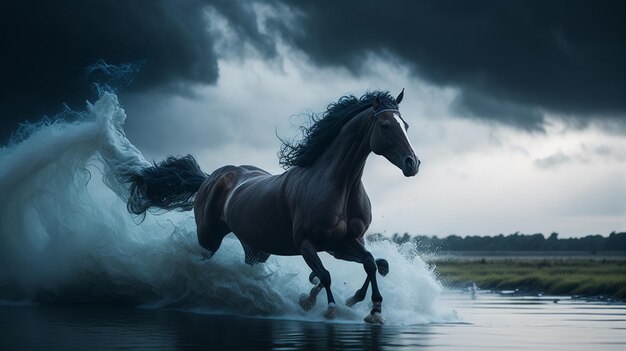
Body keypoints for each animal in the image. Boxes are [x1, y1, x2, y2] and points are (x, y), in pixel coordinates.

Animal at [125, 90, 420, 324]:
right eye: (385, 125)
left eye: (405, 125)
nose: (412, 163)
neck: (339, 184)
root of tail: (211, 178)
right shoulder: (306, 243)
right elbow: (325, 275)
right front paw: (320, 306)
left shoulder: (343, 243)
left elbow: (370, 263)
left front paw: (370, 308)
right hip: (208, 238)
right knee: (200, 262)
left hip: (256, 249)